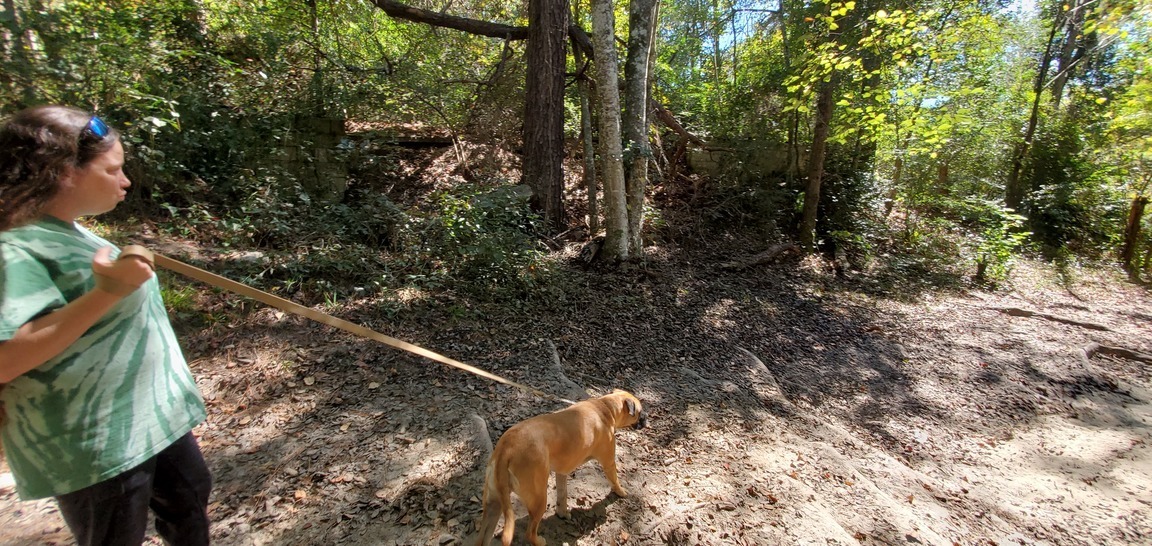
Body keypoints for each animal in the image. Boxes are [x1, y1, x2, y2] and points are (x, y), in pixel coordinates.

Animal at [470, 387, 649, 546]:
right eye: (640, 411)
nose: (647, 418)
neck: (605, 407)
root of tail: (505, 449)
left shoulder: (562, 472)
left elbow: (562, 495)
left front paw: (562, 513)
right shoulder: (609, 462)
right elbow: (615, 481)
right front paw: (621, 492)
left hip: (494, 504)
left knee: (482, 537)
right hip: (538, 499)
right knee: (530, 533)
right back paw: (540, 541)